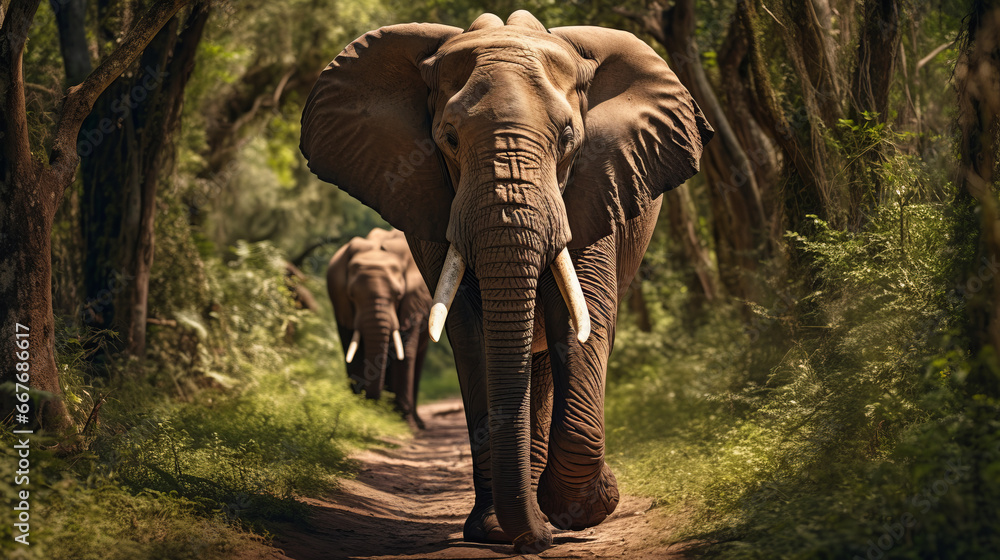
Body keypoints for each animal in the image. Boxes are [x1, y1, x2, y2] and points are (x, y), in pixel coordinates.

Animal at [327, 228, 432, 429]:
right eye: (352, 295)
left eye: (398, 294)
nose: (372, 405)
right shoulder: (341, 304)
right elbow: (354, 353)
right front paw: (360, 413)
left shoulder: (412, 303)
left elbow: (405, 352)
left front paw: (406, 425)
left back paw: (418, 423)